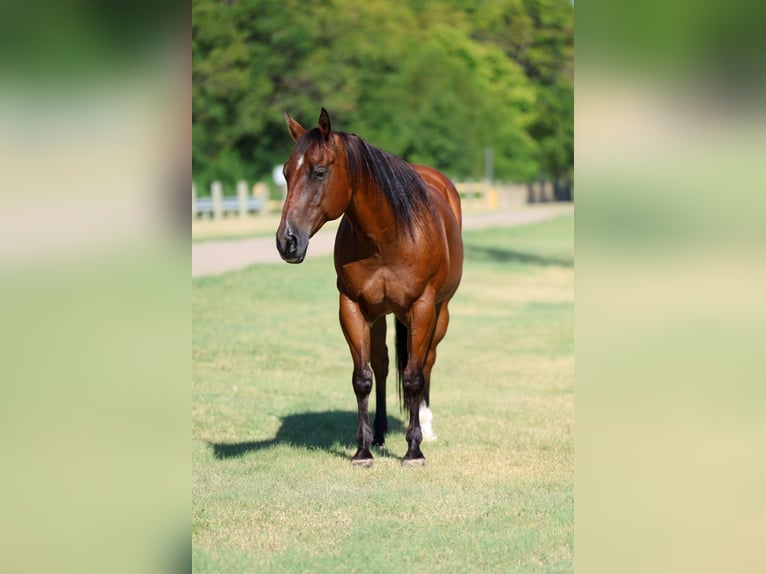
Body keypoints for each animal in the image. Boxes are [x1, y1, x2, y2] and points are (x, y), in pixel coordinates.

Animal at [276, 108, 463, 467]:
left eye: (319, 172)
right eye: (285, 173)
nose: (286, 241)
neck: (388, 237)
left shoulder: (422, 307)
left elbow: (414, 376)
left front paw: (414, 451)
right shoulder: (352, 307)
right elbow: (362, 378)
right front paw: (362, 451)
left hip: (440, 311)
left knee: (427, 361)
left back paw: (425, 427)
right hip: (380, 315)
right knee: (383, 365)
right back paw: (378, 433)